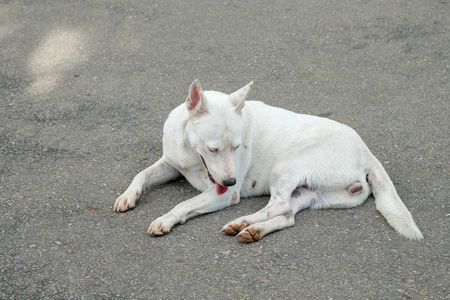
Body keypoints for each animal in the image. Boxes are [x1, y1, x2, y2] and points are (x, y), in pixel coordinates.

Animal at [114, 79, 424, 241]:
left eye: (237, 146)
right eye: (213, 149)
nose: (231, 181)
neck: (191, 152)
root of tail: (366, 152)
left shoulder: (221, 195)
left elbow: (183, 204)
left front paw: (165, 220)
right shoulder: (170, 164)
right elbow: (142, 174)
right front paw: (128, 196)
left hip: (286, 165)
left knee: (278, 205)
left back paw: (242, 222)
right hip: (310, 193)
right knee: (287, 216)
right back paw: (253, 229)